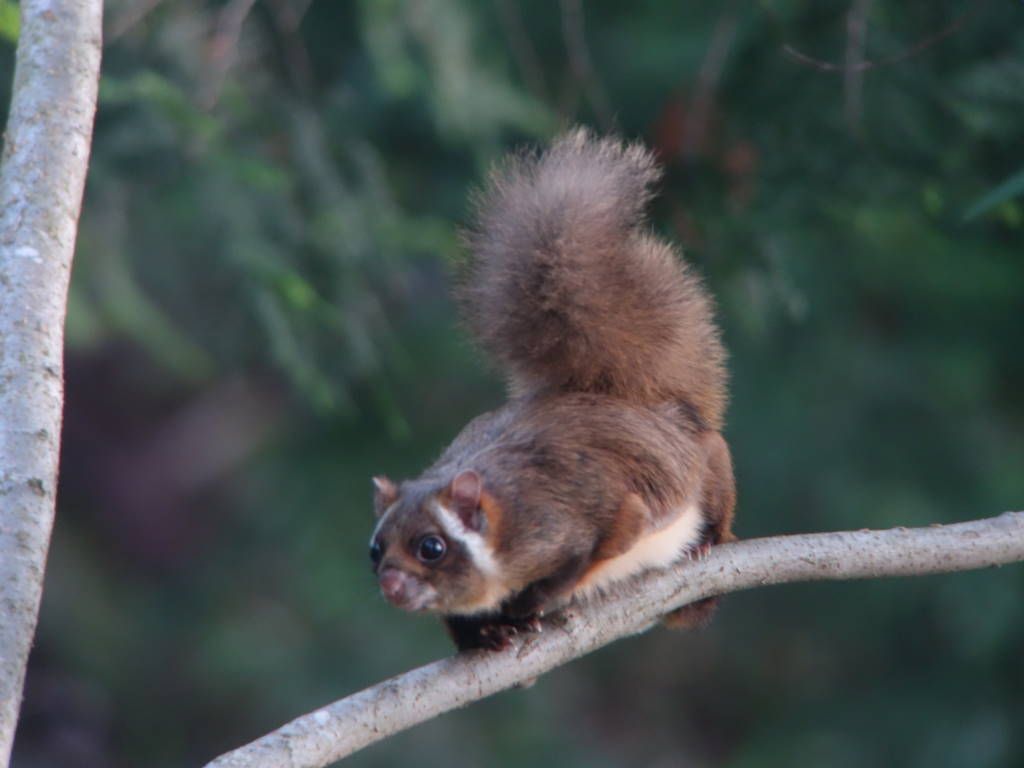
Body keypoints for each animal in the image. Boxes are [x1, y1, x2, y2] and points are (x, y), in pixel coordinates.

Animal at [368, 129, 737, 651]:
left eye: (431, 547)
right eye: (374, 549)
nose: (391, 586)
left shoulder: (583, 515)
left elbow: (595, 552)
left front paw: (527, 605)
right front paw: (487, 634)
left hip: (712, 467)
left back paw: (708, 541)